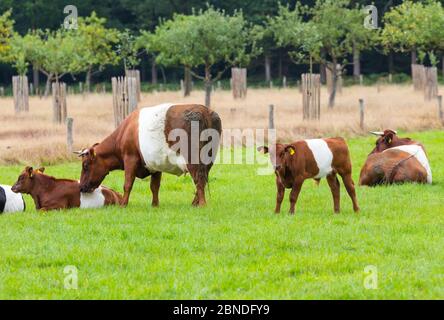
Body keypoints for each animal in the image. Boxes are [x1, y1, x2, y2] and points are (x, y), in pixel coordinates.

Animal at [77, 102, 222, 208]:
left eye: (85, 165)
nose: (81, 187)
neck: (125, 132)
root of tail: (204, 111)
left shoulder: (130, 159)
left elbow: (127, 184)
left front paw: (123, 204)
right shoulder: (156, 165)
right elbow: (154, 186)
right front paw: (154, 205)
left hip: (192, 159)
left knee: (199, 180)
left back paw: (201, 204)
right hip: (209, 159)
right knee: (203, 178)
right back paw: (194, 203)